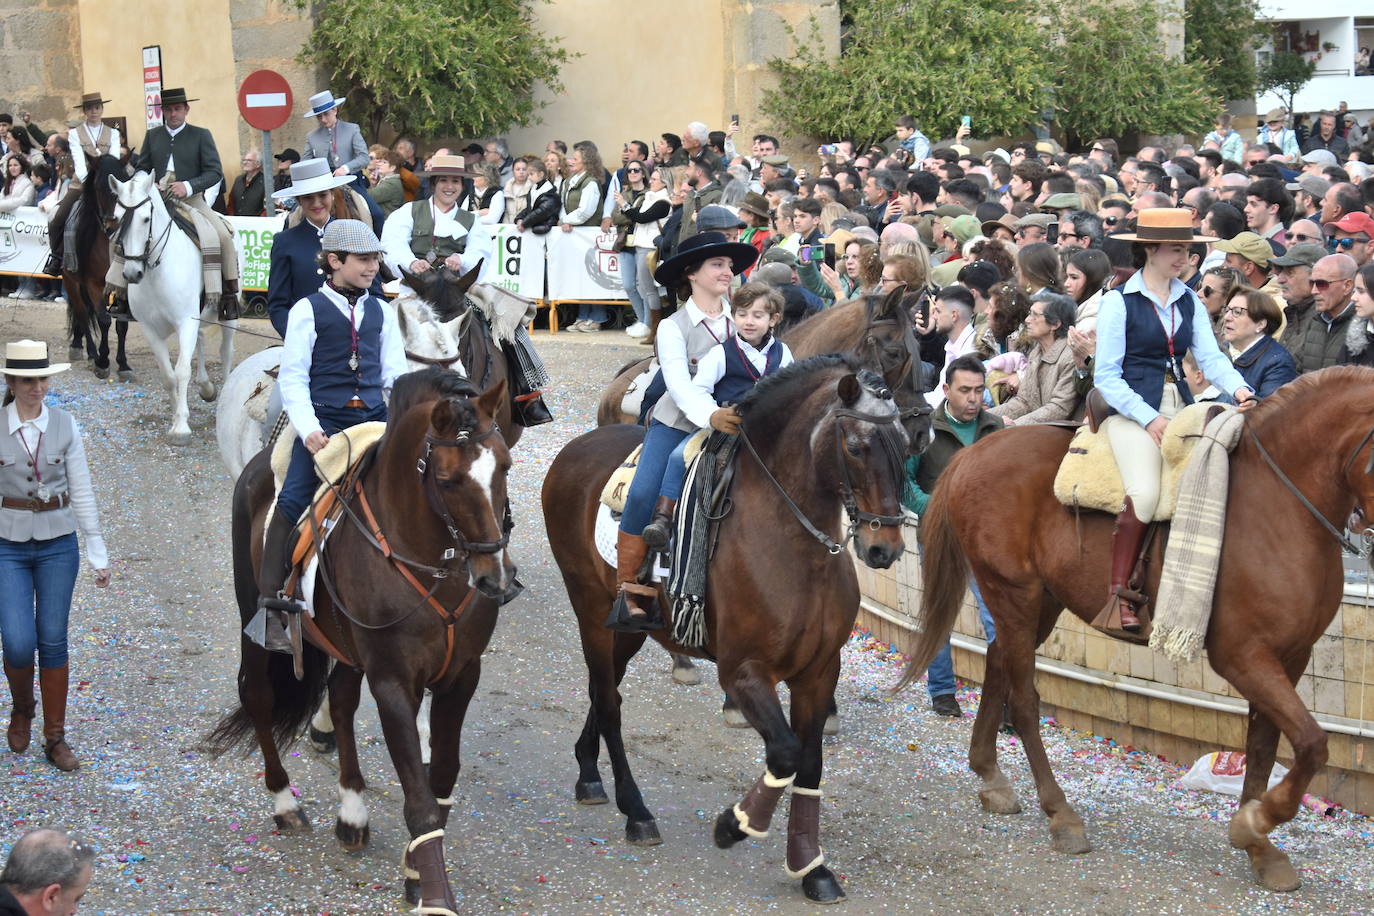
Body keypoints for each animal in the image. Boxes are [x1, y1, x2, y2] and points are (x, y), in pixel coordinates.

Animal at [60, 153, 129, 379]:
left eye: (125, 183)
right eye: (99, 187)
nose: (113, 223)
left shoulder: (124, 287)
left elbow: (122, 324)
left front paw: (124, 365)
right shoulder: (94, 284)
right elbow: (104, 320)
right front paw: (103, 361)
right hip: (71, 281)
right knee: (82, 313)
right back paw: (90, 353)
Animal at [109, 173, 236, 447]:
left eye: (146, 218)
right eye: (117, 217)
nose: (131, 274)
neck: (157, 272)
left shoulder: (185, 322)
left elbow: (182, 371)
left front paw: (181, 427)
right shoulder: (150, 329)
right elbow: (168, 376)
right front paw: (175, 414)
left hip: (228, 316)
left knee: (225, 351)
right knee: (201, 341)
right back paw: (206, 386)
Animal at [206, 368, 516, 911]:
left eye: (505, 466)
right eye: (447, 480)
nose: (495, 579)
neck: (433, 562)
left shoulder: (461, 675)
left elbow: (441, 780)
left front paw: (415, 870)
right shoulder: (392, 680)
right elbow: (419, 800)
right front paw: (435, 894)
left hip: (347, 646)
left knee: (341, 701)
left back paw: (352, 811)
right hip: (258, 621)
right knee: (259, 697)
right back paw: (284, 802)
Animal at [544, 354, 912, 900]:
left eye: (908, 445)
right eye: (857, 446)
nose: (884, 547)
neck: (793, 546)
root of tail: (577, 447)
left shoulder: (820, 671)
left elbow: (810, 763)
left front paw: (811, 866)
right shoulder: (743, 671)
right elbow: (785, 753)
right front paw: (735, 824)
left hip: (627, 629)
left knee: (602, 688)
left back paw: (588, 773)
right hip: (589, 609)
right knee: (608, 703)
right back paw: (636, 812)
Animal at [901, 368, 1374, 895]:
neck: (1277, 504)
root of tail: (975, 452)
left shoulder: (1289, 656)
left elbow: (1265, 744)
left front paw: (1259, 846)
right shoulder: (1243, 656)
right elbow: (1311, 744)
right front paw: (1255, 823)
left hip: (1040, 601)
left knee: (998, 660)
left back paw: (991, 777)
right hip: (1014, 593)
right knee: (1023, 699)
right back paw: (1060, 813)